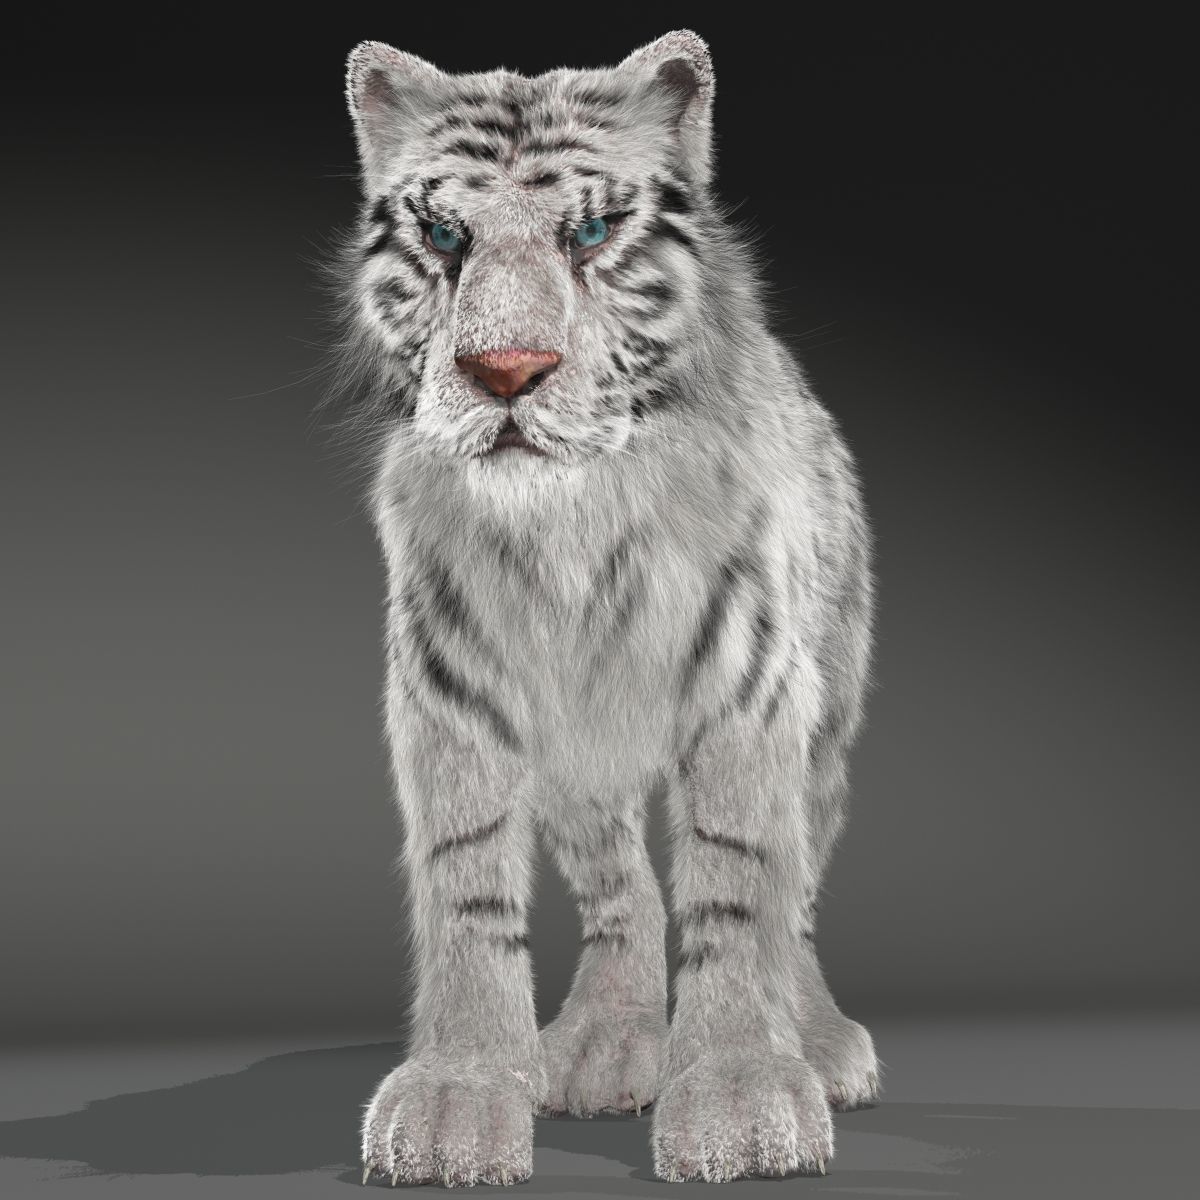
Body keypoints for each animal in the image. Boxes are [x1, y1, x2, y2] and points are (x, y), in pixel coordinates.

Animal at [327, 29, 880, 1187]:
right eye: (444, 233)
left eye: (589, 232)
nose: (506, 372)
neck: (569, 530)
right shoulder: (450, 686)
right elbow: (467, 885)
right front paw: (458, 1099)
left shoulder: (750, 686)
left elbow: (738, 880)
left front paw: (742, 1096)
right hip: (582, 758)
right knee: (621, 887)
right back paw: (604, 1043)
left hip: (828, 716)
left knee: (798, 889)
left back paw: (817, 1040)